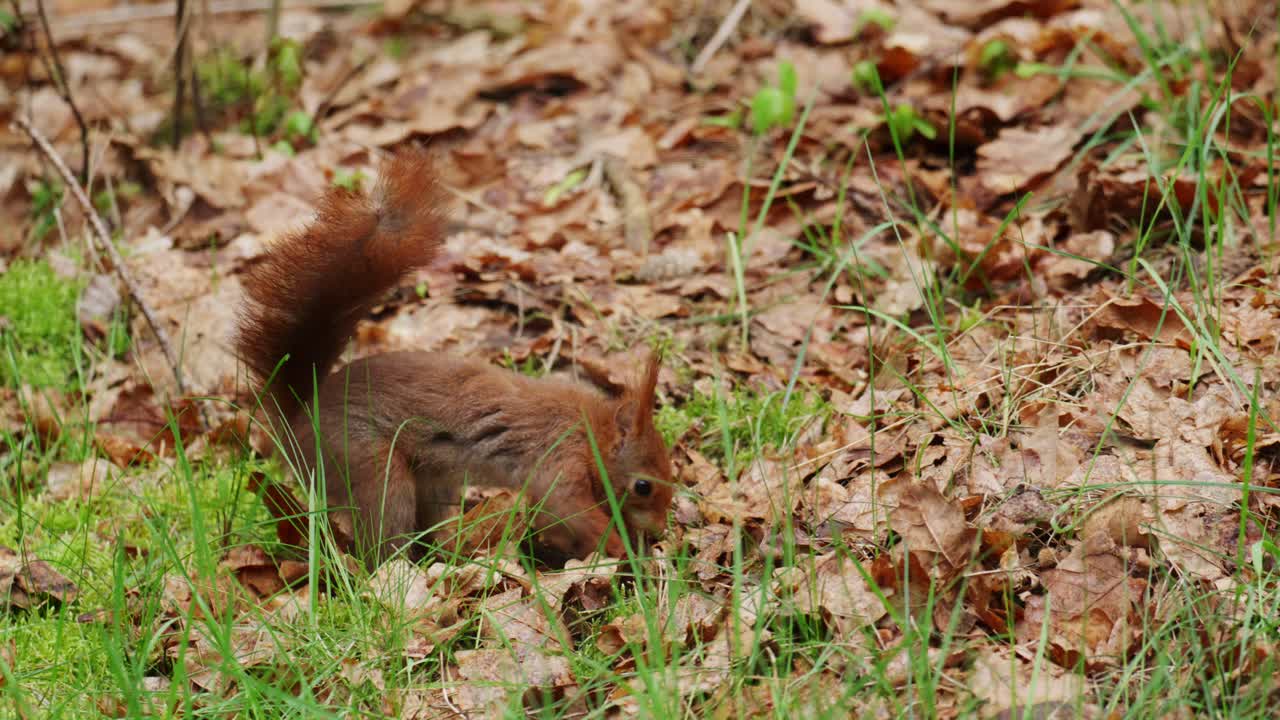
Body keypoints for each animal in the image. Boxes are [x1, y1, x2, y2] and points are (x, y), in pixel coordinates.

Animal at [234, 147, 673, 567]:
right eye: (643, 486)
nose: (660, 531)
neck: (591, 431)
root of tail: (297, 421)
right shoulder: (559, 460)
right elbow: (567, 509)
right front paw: (622, 551)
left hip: (432, 478)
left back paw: (450, 555)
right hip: (365, 461)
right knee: (383, 535)